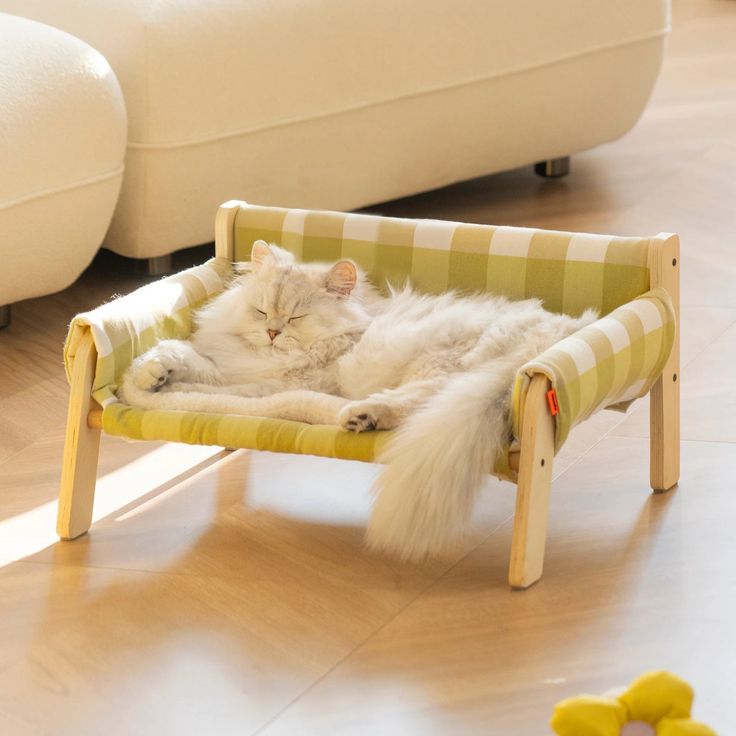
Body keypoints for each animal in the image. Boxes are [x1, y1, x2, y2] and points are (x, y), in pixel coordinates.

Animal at [118, 240, 596, 556]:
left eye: (296, 317)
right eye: (261, 311)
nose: (272, 332)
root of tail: (553, 339)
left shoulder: (266, 384)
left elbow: (213, 389)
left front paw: (163, 387)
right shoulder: (229, 364)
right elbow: (182, 355)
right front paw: (153, 373)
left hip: (437, 362)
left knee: (415, 404)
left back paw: (359, 415)